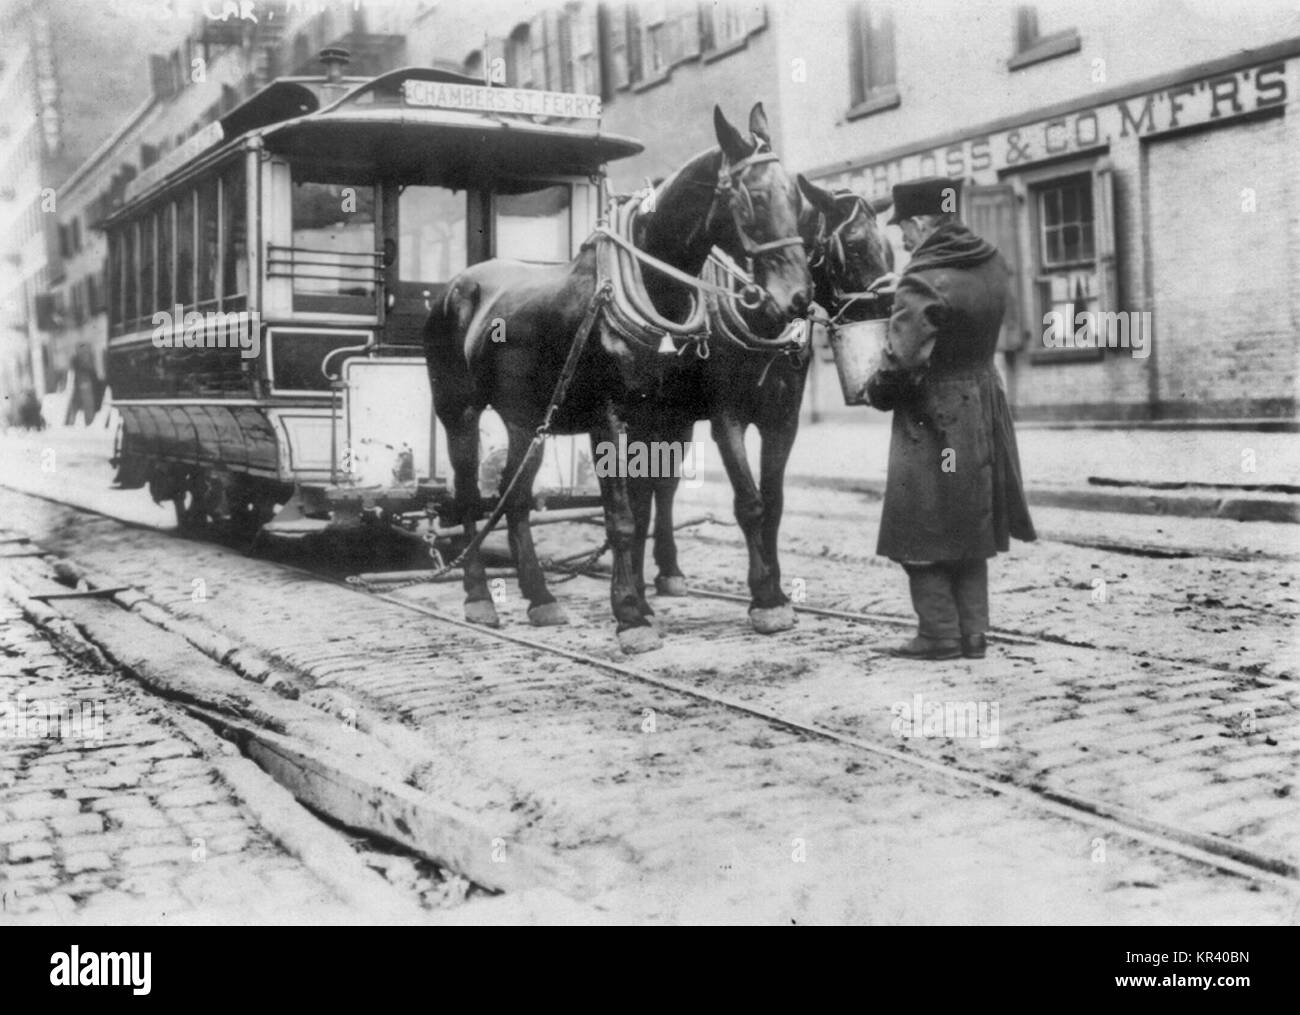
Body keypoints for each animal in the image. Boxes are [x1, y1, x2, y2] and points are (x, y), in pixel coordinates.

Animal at [426, 104, 811, 649]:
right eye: (753, 198)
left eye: (798, 199)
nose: (797, 297)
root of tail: (455, 287)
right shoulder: (611, 419)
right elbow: (624, 517)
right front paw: (630, 615)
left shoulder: (660, 419)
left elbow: (647, 506)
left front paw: (649, 603)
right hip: (457, 411)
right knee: (466, 497)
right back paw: (479, 596)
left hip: (528, 421)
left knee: (515, 499)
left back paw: (540, 598)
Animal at [626, 175, 894, 634]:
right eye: (855, 246)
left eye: (889, 247)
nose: (890, 314)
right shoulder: (726, 419)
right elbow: (750, 504)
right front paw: (765, 598)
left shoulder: (782, 420)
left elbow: (774, 502)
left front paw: (778, 590)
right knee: (637, 489)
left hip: (676, 418)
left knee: (664, 485)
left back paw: (669, 569)